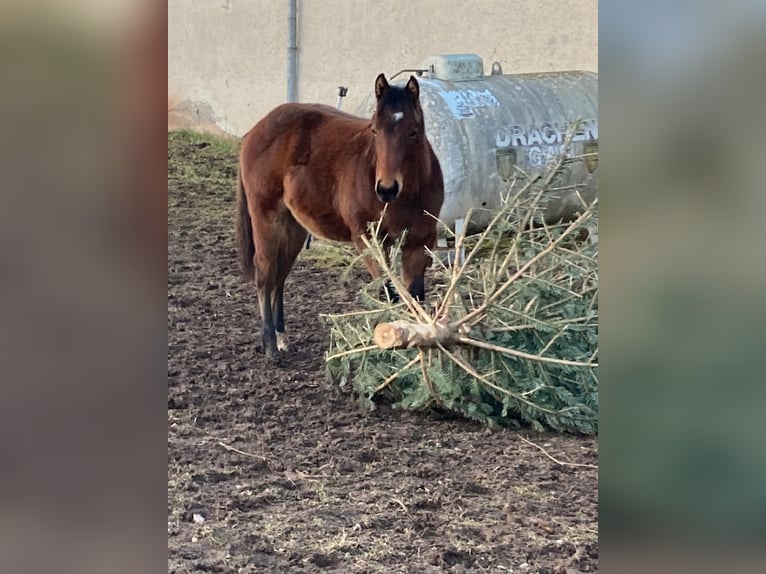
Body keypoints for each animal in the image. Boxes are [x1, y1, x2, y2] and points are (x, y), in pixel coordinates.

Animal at [238, 72, 444, 360]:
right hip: (266, 218)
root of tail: (255, 131)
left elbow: (414, 296)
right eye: (374, 130)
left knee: (280, 275)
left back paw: (281, 337)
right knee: (265, 272)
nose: (386, 188)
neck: (407, 196)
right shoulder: (368, 240)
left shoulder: (419, 243)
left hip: (294, 228)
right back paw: (269, 344)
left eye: (413, 132)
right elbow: (389, 292)